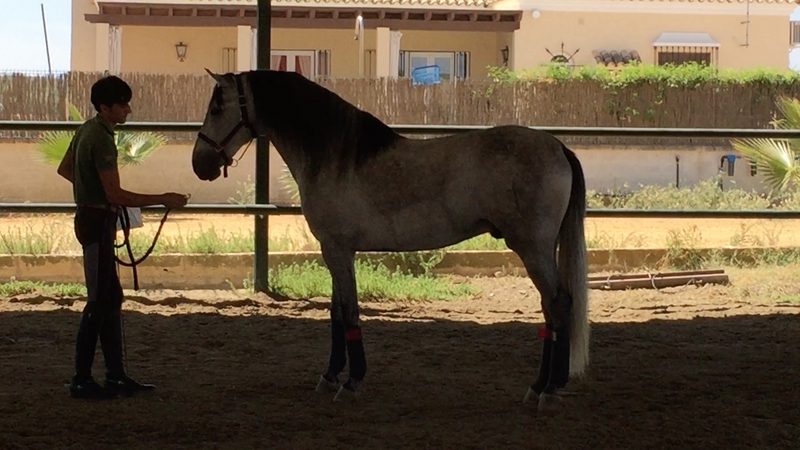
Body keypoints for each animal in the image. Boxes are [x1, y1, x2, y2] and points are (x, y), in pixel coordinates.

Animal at [190, 69, 590, 413]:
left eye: (217, 107)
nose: (200, 164)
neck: (336, 156)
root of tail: (558, 147)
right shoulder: (335, 252)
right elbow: (336, 312)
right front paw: (329, 376)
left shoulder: (337, 250)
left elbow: (350, 312)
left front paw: (351, 383)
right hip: (541, 249)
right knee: (550, 308)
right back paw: (538, 387)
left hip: (533, 248)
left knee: (559, 304)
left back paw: (549, 390)